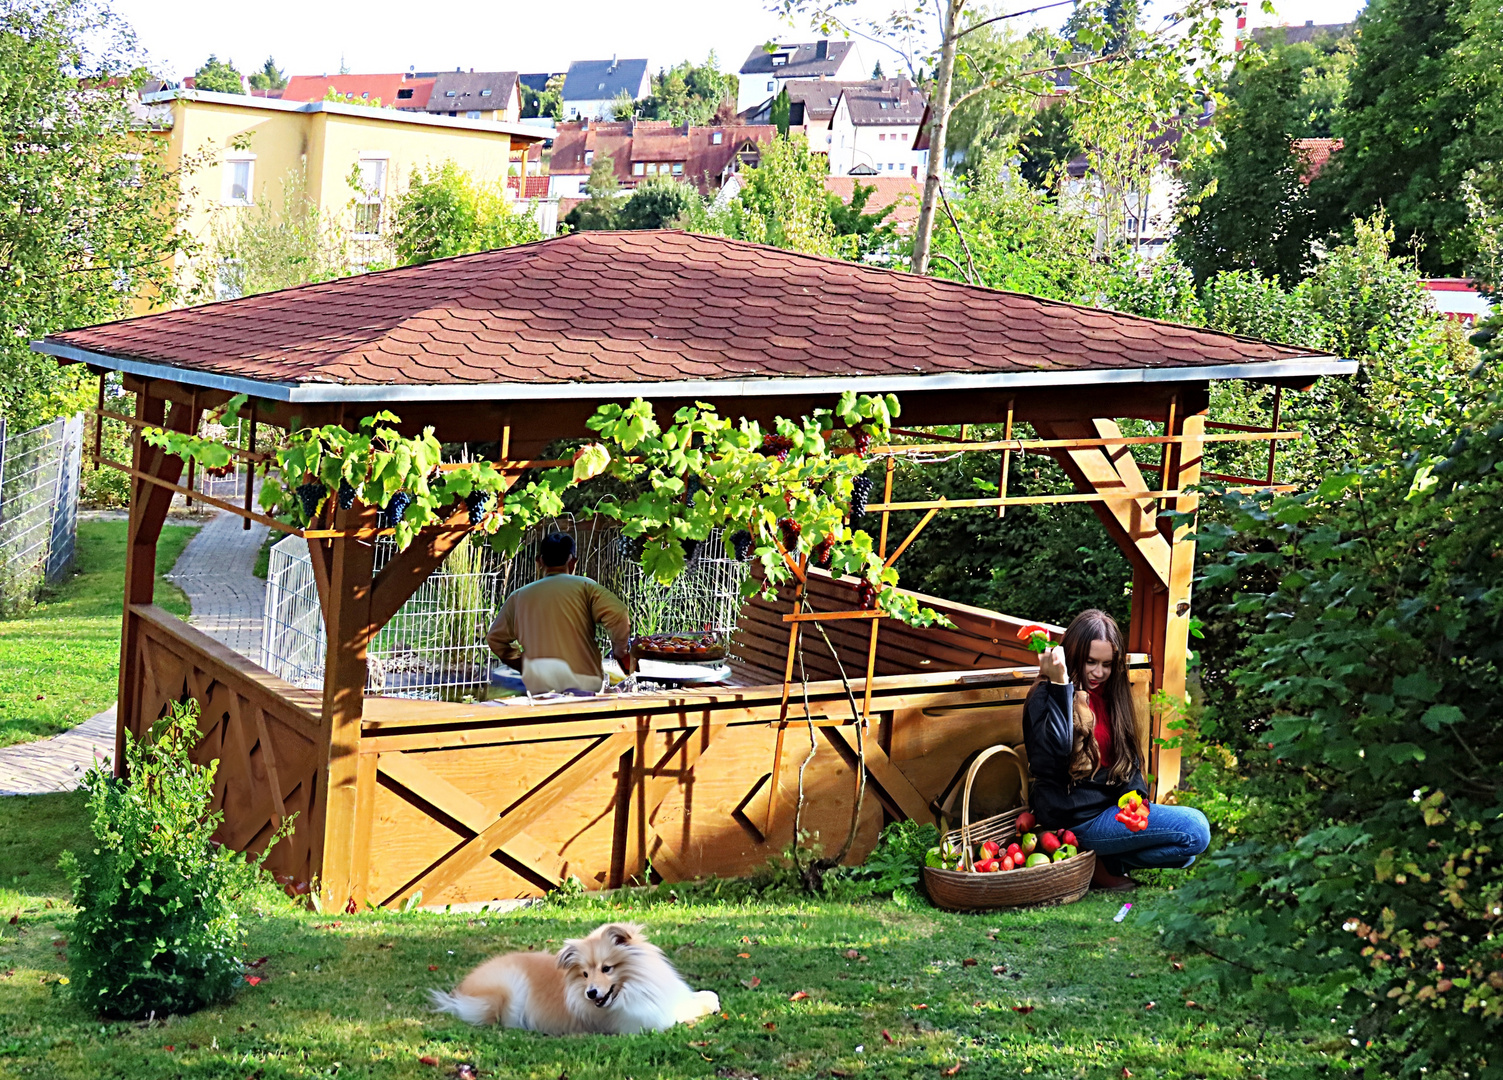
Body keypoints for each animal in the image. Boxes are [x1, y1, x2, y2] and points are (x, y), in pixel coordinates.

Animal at [429, 919, 721, 1039]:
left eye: (607, 968)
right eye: (585, 974)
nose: (591, 993)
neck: (635, 985)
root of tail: (460, 993)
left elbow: (693, 998)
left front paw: (710, 998)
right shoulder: (647, 1021)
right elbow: (682, 1012)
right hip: (505, 991)